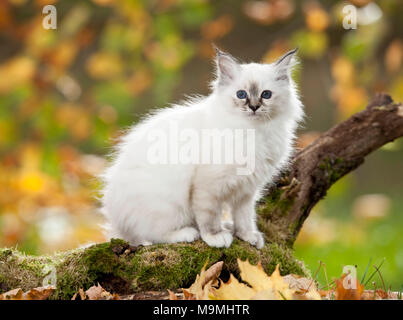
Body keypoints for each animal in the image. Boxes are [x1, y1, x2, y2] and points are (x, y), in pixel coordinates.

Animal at [100, 47, 304, 249]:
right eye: (241, 94)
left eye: (266, 94)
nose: (254, 107)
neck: (254, 131)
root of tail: (117, 221)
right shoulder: (208, 184)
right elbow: (209, 216)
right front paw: (215, 237)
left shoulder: (246, 189)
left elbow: (244, 217)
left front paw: (247, 236)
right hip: (169, 204)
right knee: (153, 235)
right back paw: (187, 233)